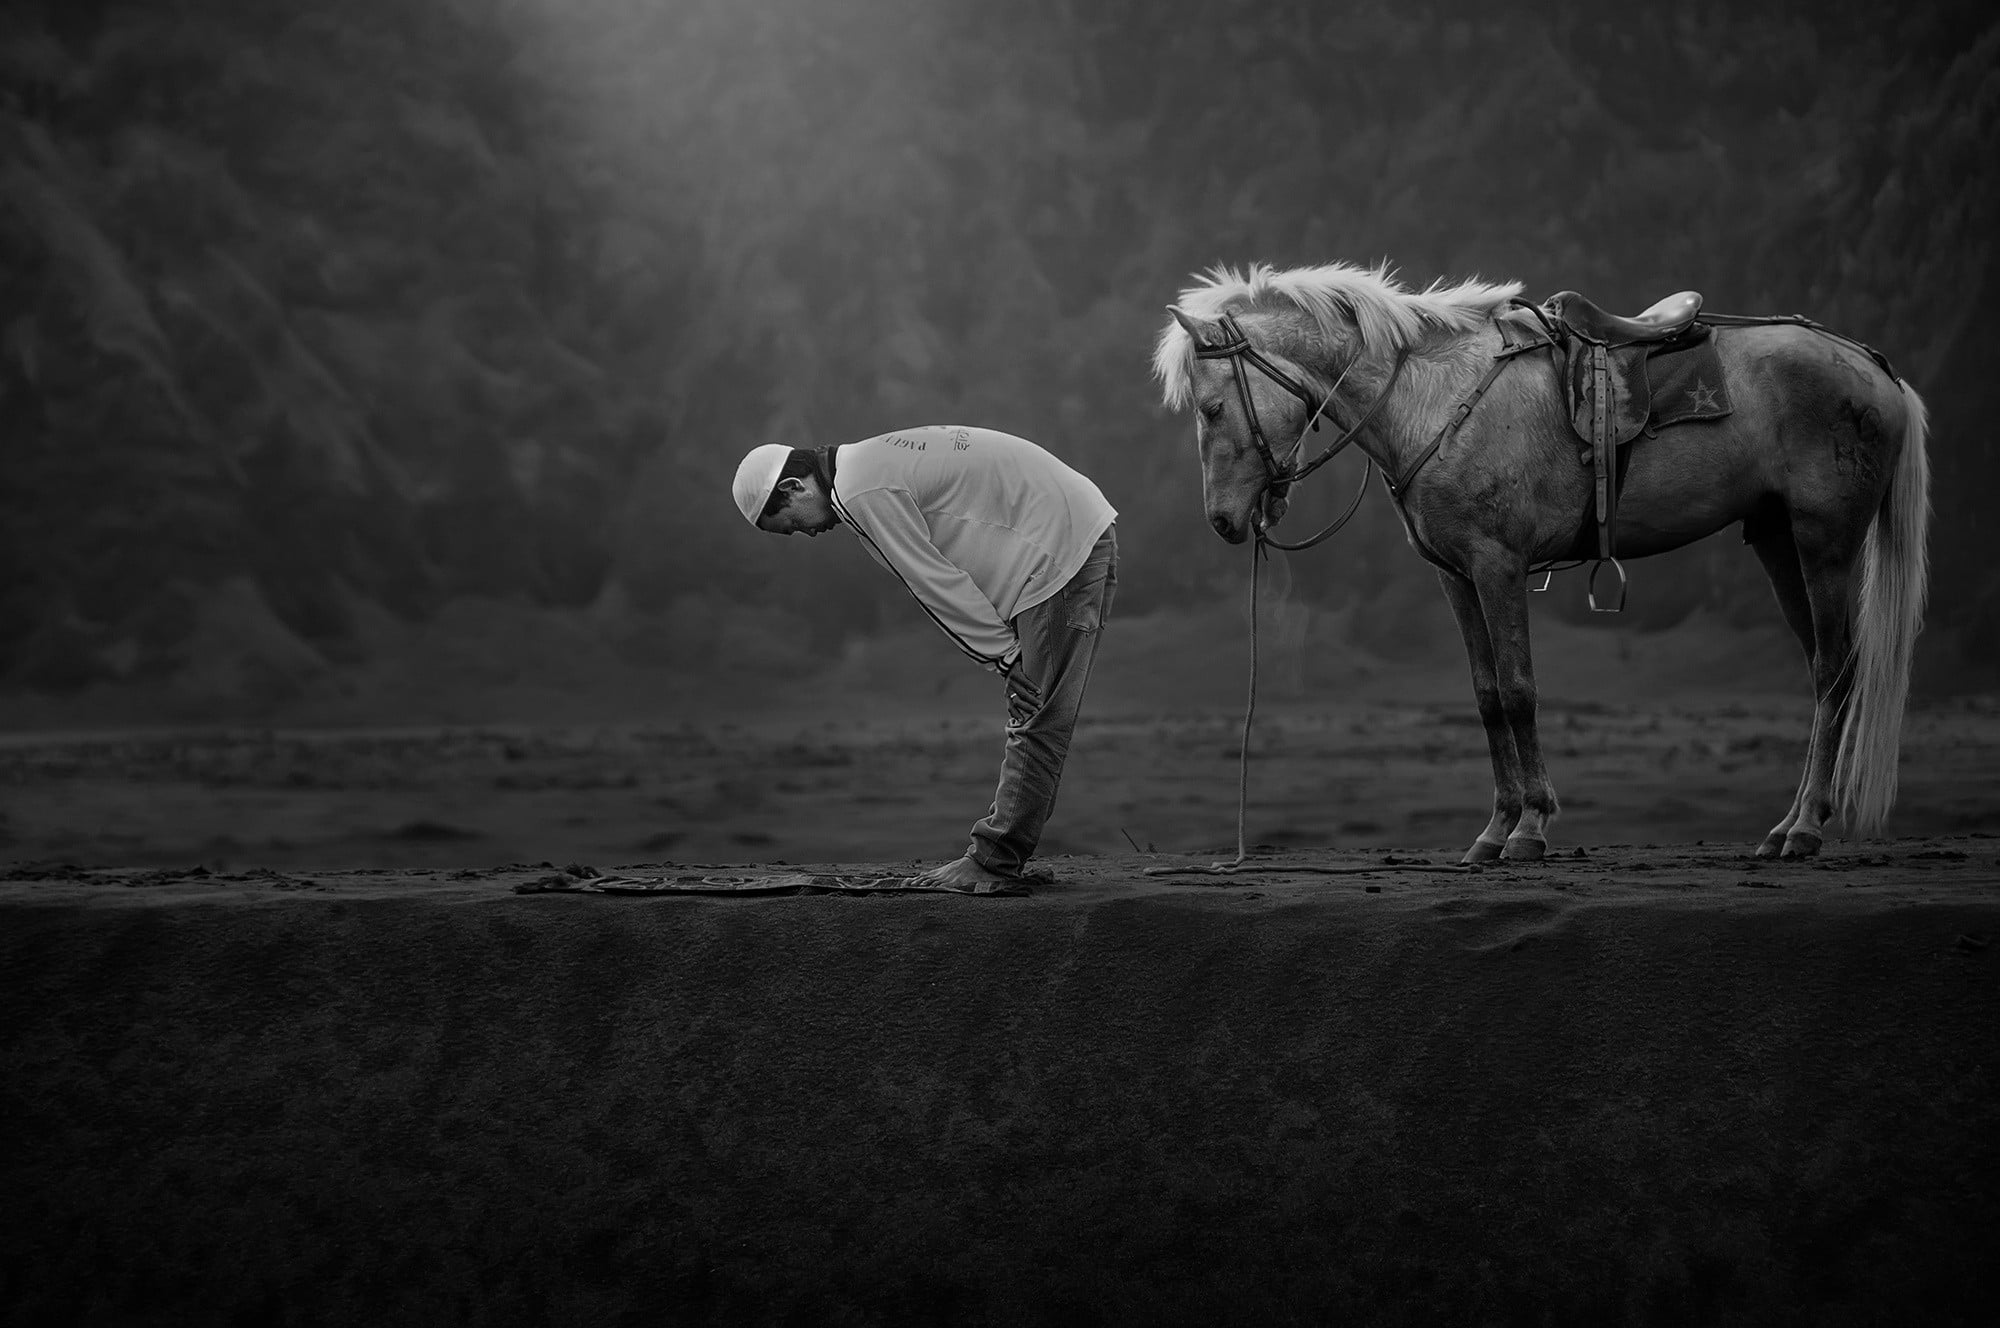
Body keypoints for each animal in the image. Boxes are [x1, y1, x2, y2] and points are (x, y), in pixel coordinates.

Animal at [1151, 261, 1930, 864]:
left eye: (1212, 408)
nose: (1224, 521)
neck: (1433, 397)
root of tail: (1873, 368)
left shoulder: (1498, 566)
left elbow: (1520, 689)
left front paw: (1528, 829)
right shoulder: (1455, 577)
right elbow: (1487, 696)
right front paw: (1493, 832)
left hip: (1824, 540)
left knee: (1835, 669)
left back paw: (1805, 829)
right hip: (1775, 539)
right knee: (1821, 665)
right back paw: (1785, 825)